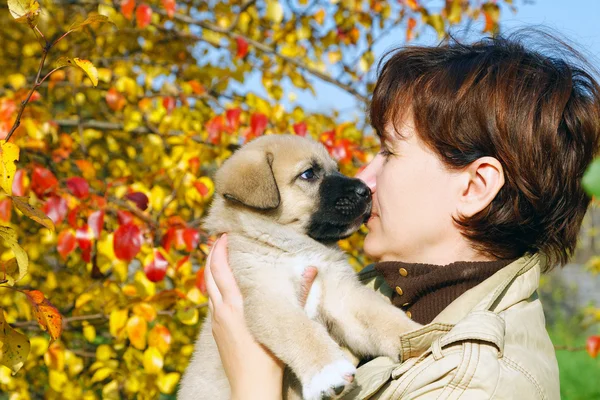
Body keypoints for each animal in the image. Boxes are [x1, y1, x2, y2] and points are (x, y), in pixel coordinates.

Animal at [180, 135, 420, 400]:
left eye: (336, 169)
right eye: (308, 174)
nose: (365, 191)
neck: (295, 248)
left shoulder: (342, 295)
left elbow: (381, 315)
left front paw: (418, 333)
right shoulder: (270, 297)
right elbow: (302, 330)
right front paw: (328, 371)